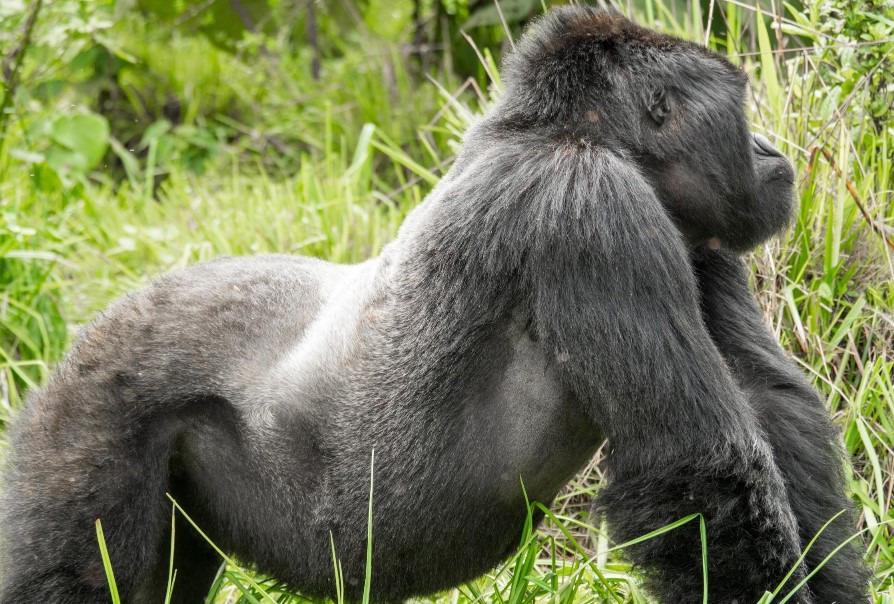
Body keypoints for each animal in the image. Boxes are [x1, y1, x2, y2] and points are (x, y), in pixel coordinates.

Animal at [0, 7, 872, 604]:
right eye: (741, 108)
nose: (771, 154)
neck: (550, 130)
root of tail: (79, 346)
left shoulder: (695, 236)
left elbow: (776, 412)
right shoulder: (587, 205)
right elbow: (696, 464)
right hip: (86, 414)